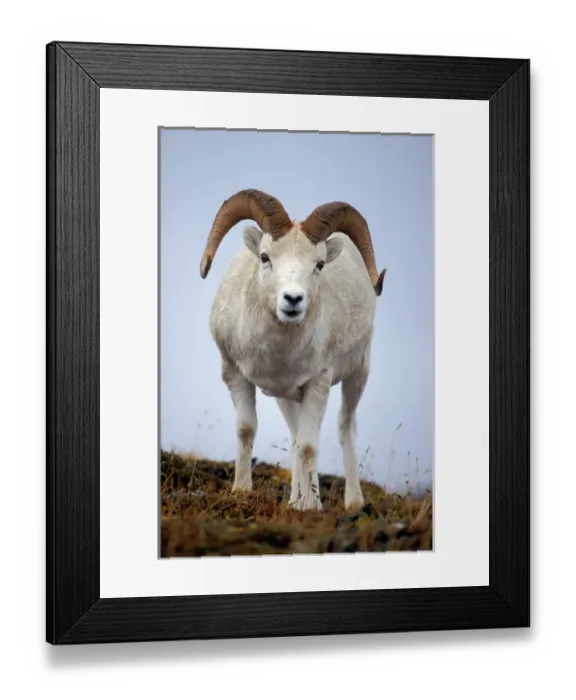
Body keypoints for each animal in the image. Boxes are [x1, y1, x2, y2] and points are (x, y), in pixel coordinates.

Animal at [199, 189, 386, 511]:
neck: (277, 352)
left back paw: (352, 502)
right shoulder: (235, 374)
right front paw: (242, 491)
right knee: (297, 434)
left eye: (319, 264)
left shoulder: (318, 382)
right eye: (265, 257)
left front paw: (308, 509)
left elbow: (309, 446)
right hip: (287, 397)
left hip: (358, 373)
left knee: (344, 428)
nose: (293, 299)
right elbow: (247, 430)